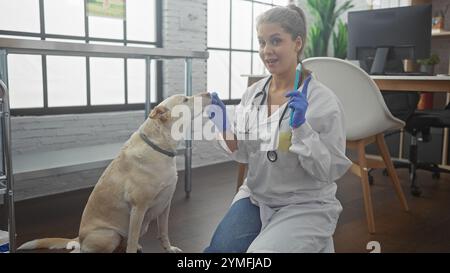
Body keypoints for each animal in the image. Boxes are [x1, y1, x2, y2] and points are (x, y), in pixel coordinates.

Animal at [18, 92, 212, 252]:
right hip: (110, 235)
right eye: (185, 99)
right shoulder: (138, 208)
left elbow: (163, 233)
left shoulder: (165, 205)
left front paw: (169, 248)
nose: (209, 93)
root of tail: (80, 238)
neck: (159, 147)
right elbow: (131, 243)